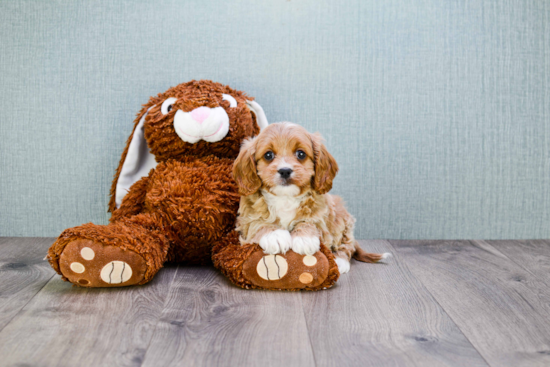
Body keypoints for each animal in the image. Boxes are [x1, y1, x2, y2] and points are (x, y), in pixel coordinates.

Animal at [233, 122, 392, 274]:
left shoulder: (322, 217)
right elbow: (257, 223)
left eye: (301, 154)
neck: (285, 197)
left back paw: (340, 262)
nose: (285, 170)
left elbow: (310, 222)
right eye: (268, 155)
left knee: (347, 246)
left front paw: (305, 238)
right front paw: (275, 235)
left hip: (343, 221)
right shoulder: (245, 219)